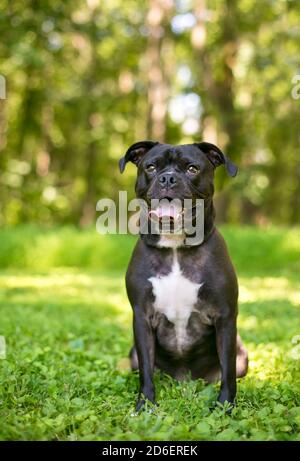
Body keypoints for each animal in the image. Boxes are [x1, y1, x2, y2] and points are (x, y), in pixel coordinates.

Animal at [119, 140, 248, 410]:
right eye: (151, 167)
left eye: (192, 168)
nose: (168, 178)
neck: (175, 248)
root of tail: (184, 380)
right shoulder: (142, 317)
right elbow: (146, 371)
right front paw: (145, 405)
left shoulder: (225, 317)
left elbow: (228, 371)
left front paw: (225, 407)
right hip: (132, 354)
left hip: (242, 353)